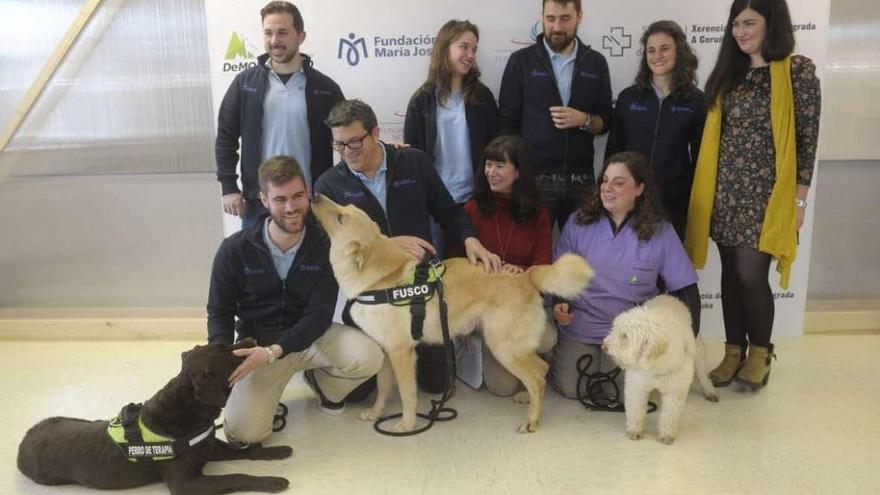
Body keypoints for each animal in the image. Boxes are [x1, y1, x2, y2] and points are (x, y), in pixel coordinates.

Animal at [17, 340, 292, 495]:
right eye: (225, 351)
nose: (250, 337)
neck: (189, 409)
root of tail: (24, 440)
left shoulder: (208, 447)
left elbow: (249, 449)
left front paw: (277, 451)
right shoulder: (185, 483)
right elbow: (237, 476)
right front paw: (272, 481)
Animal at [310, 195, 592, 434]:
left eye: (341, 217)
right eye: (344, 207)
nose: (315, 195)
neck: (380, 280)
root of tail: (525, 275)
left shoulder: (402, 353)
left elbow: (407, 394)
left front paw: (408, 424)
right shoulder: (386, 352)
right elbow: (383, 388)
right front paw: (376, 413)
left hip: (503, 347)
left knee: (537, 379)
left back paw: (532, 420)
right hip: (509, 346)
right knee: (541, 368)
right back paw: (526, 398)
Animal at [600, 294, 720, 446]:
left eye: (625, 336)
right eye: (614, 328)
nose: (603, 346)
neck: (655, 367)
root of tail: (669, 296)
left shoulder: (674, 391)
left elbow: (669, 415)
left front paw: (666, 435)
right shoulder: (637, 386)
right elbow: (635, 410)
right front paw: (634, 430)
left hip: (698, 353)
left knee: (704, 375)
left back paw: (710, 392)